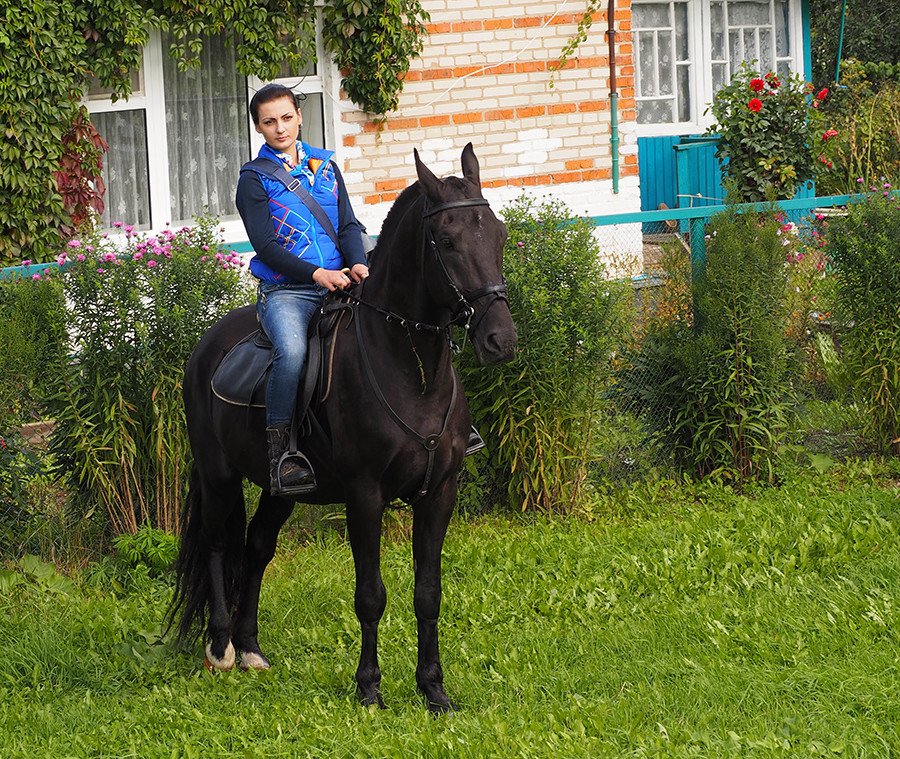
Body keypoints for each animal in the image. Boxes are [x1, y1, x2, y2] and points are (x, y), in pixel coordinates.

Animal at [169, 142, 516, 712]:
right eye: (446, 241)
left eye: (499, 234)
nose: (500, 340)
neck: (410, 369)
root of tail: (206, 346)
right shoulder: (364, 495)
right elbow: (370, 594)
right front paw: (369, 687)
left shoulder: (438, 493)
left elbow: (428, 593)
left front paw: (433, 689)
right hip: (218, 475)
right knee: (219, 544)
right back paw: (220, 647)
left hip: (280, 488)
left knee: (256, 546)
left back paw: (250, 647)